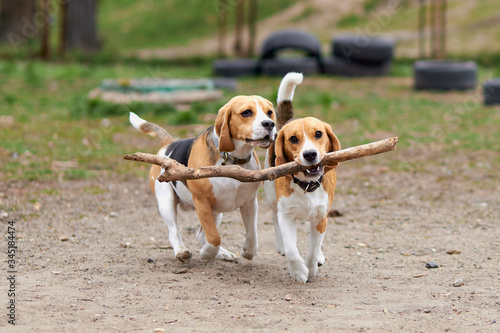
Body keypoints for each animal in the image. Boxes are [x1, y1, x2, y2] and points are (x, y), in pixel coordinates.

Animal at [130, 95, 278, 262]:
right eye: (246, 112)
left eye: (270, 112)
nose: (269, 124)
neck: (233, 160)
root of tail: (168, 145)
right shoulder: (202, 203)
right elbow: (214, 237)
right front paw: (207, 253)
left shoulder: (250, 203)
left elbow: (252, 233)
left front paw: (248, 251)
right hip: (166, 201)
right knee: (174, 232)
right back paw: (181, 250)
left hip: (217, 211)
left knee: (201, 234)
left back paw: (222, 253)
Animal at [264, 71, 342, 282]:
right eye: (293, 139)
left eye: (318, 134)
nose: (310, 155)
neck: (307, 185)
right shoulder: (286, 215)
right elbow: (292, 250)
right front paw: (298, 271)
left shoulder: (321, 216)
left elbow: (313, 249)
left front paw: (312, 266)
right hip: (272, 197)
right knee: (274, 219)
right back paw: (281, 245)